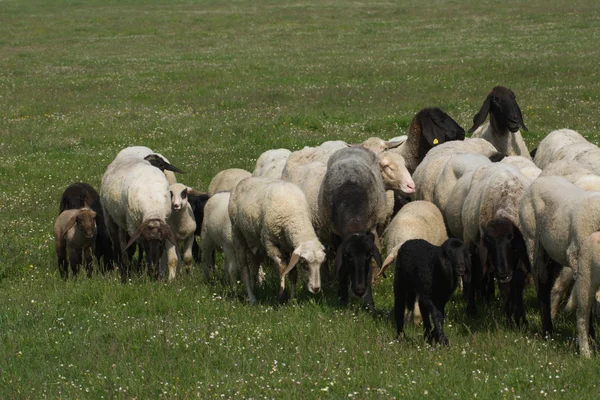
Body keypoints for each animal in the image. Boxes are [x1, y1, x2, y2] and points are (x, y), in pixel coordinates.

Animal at [230, 176, 326, 304]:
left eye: (321, 264)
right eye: (304, 264)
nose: (316, 289)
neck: (295, 215)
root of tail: (243, 180)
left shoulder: (291, 248)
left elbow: (293, 273)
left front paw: (293, 299)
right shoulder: (270, 243)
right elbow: (283, 268)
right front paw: (282, 295)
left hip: (254, 242)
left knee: (254, 267)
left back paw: (253, 290)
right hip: (237, 233)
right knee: (244, 268)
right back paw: (252, 297)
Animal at [318, 148, 390, 310]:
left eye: (369, 255)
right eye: (348, 256)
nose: (359, 290)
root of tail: (354, 147)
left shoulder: (371, 232)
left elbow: (369, 270)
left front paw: (369, 304)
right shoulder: (336, 235)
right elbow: (342, 270)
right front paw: (343, 298)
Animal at [516, 177, 600, 358]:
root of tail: (540, 180)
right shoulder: (578, 258)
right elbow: (585, 306)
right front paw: (590, 340)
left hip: (553, 252)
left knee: (548, 283)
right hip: (533, 240)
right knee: (541, 285)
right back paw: (547, 331)